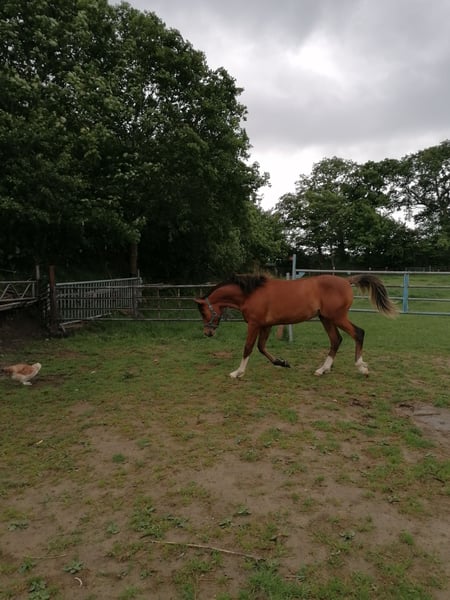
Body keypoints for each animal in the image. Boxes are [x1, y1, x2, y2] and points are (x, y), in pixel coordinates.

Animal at [195, 273, 397, 378]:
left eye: (203, 312)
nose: (207, 332)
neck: (250, 294)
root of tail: (346, 281)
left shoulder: (254, 324)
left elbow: (248, 348)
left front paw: (237, 372)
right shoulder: (266, 325)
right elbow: (261, 347)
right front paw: (282, 362)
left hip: (337, 317)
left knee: (358, 333)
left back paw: (361, 367)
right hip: (326, 319)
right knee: (336, 340)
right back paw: (322, 369)